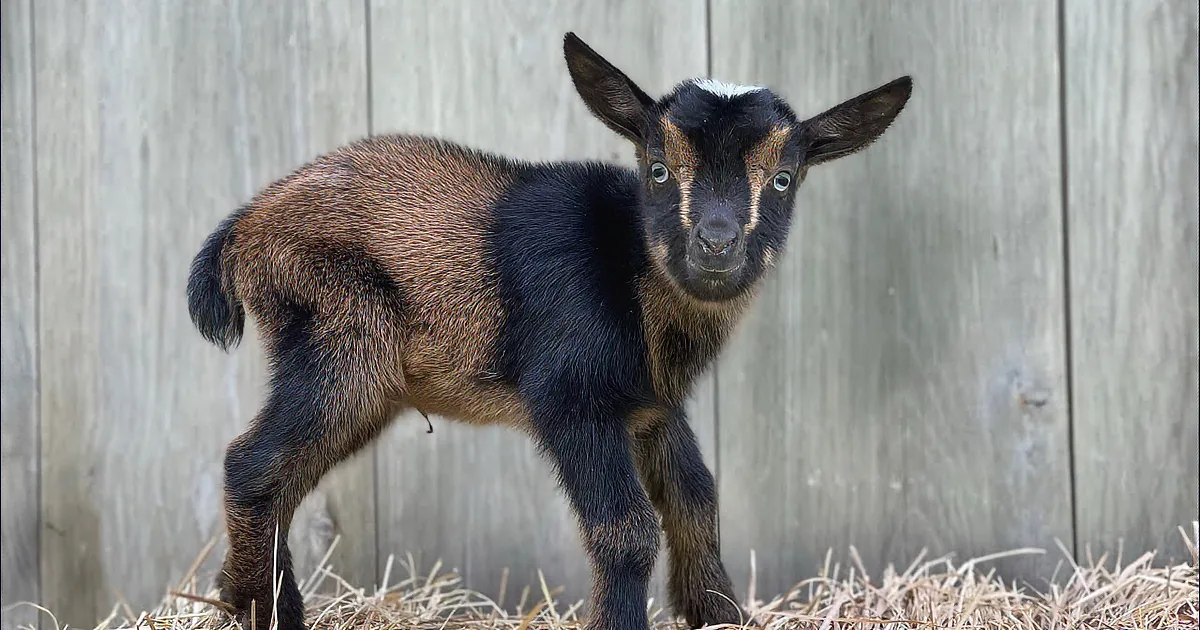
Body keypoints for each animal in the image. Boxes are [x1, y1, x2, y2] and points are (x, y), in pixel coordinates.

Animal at [186, 32, 911, 630]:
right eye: (657, 167)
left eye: (785, 178)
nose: (716, 244)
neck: (631, 268)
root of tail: (243, 229)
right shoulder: (570, 396)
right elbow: (627, 530)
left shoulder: (649, 407)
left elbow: (696, 500)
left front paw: (721, 615)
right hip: (338, 330)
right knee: (253, 463)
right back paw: (268, 611)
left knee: (280, 474)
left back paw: (237, 600)